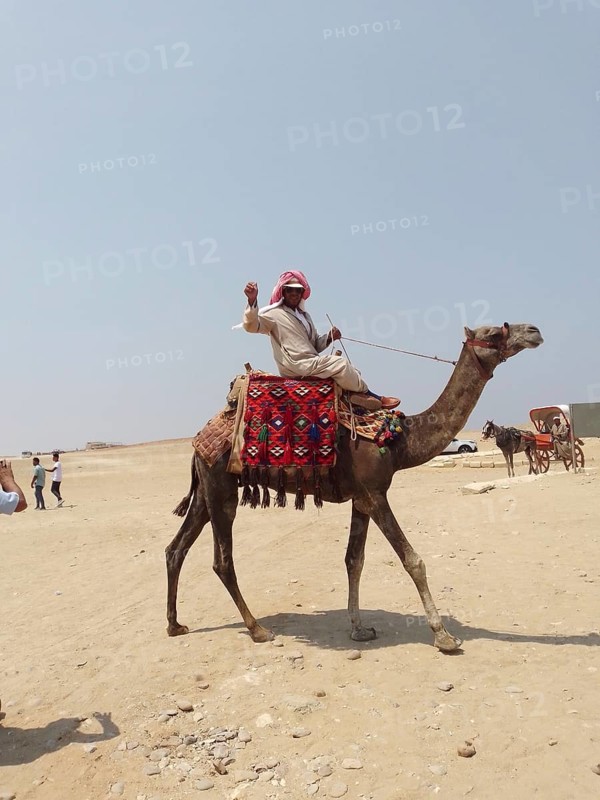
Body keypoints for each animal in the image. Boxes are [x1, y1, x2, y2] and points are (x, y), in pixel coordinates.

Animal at [165, 322, 543, 652]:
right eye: (493, 333)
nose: (534, 330)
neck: (400, 440)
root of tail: (201, 437)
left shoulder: (360, 499)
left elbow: (353, 560)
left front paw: (359, 629)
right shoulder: (375, 493)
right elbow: (412, 560)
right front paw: (444, 637)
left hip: (207, 489)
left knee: (176, 548)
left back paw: (174, 624)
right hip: (221, 488)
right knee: (222, 561)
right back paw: (258, 629)